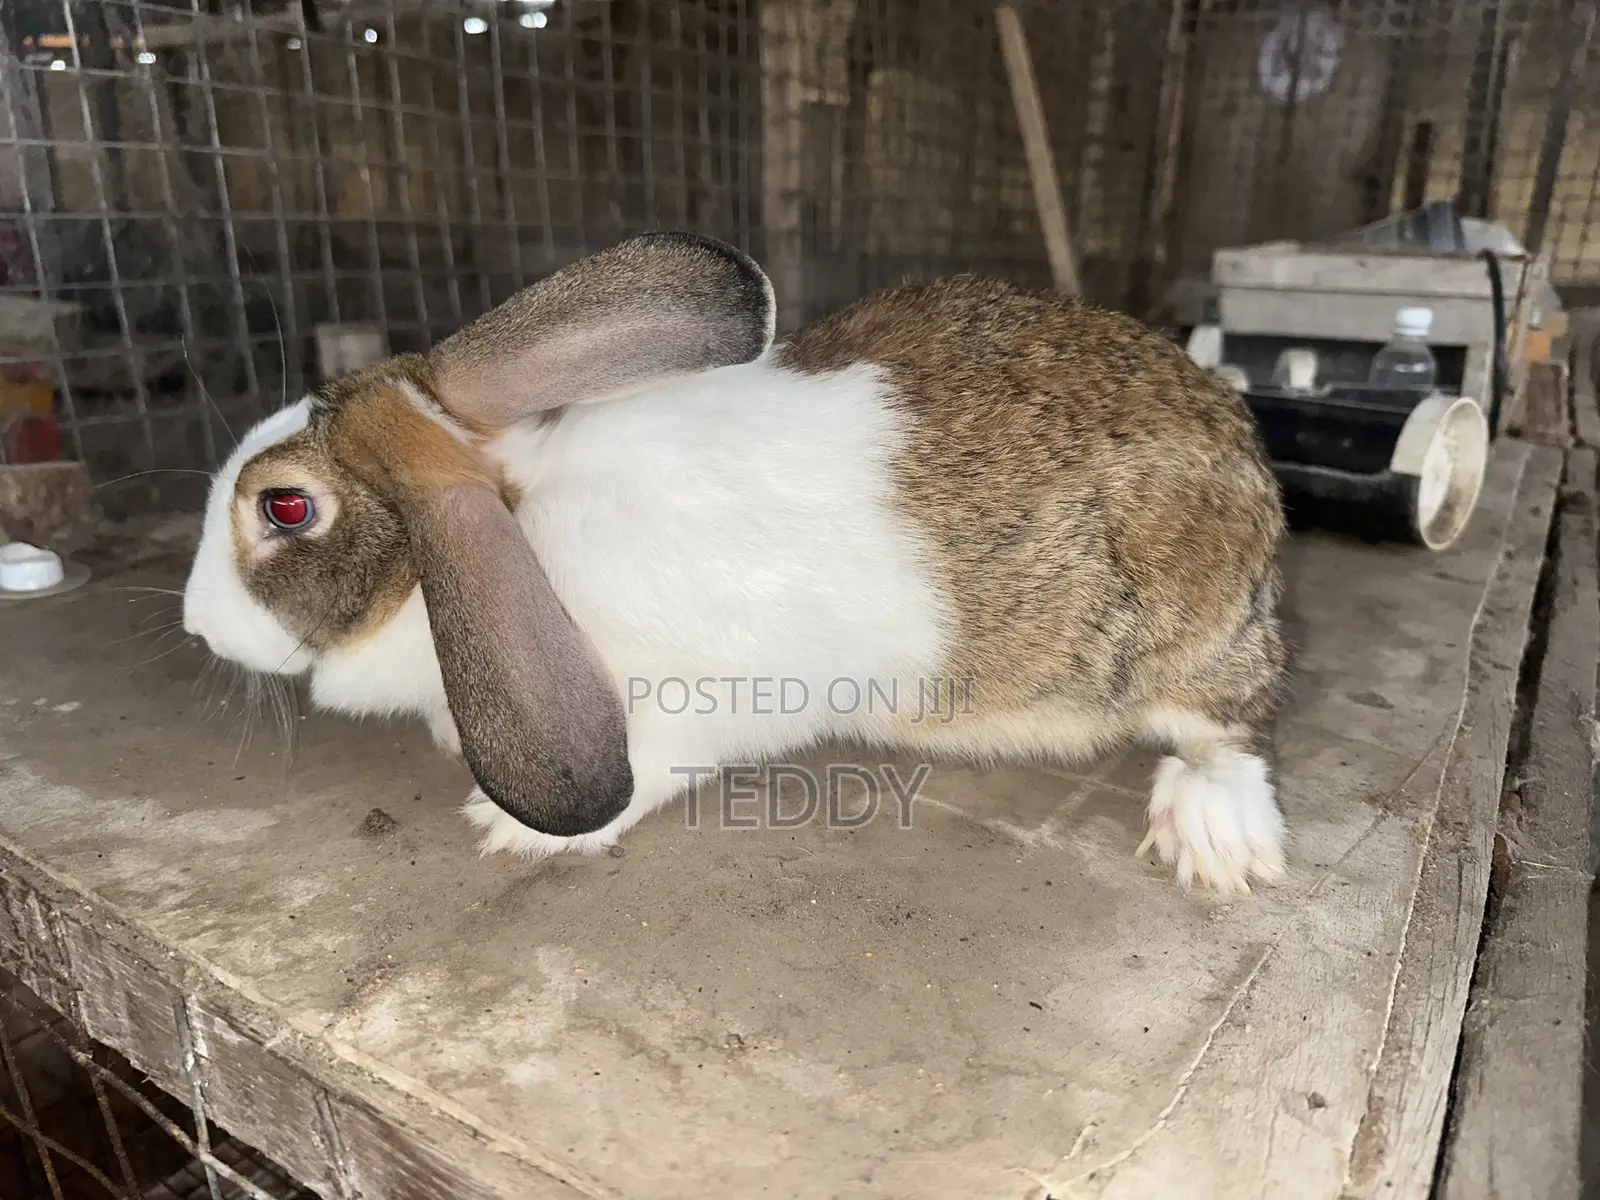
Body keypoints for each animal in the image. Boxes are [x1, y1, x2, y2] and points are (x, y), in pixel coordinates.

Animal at [182, 230, 1288, 894]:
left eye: (286, 507)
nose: (195, 623)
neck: (516, 525)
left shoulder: (704, 694)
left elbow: (652, 764)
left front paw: (519, 831)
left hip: (1188, 636)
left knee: (1233, 729)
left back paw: (1215, 838)